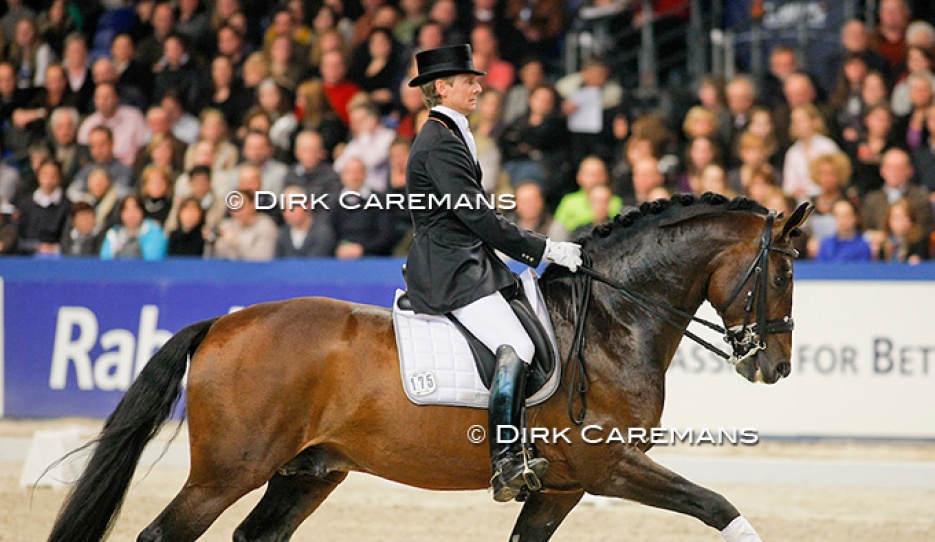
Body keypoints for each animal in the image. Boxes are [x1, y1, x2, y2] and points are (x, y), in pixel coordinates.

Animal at [48, 193, 812, 542]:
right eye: (781, 274)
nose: (773, 367)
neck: (611, 322)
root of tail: (224, 323)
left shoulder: (562, 488)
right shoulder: (608, 466)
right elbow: (718, 507)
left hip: (306, 472)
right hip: (228, 470)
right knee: (162, 533)